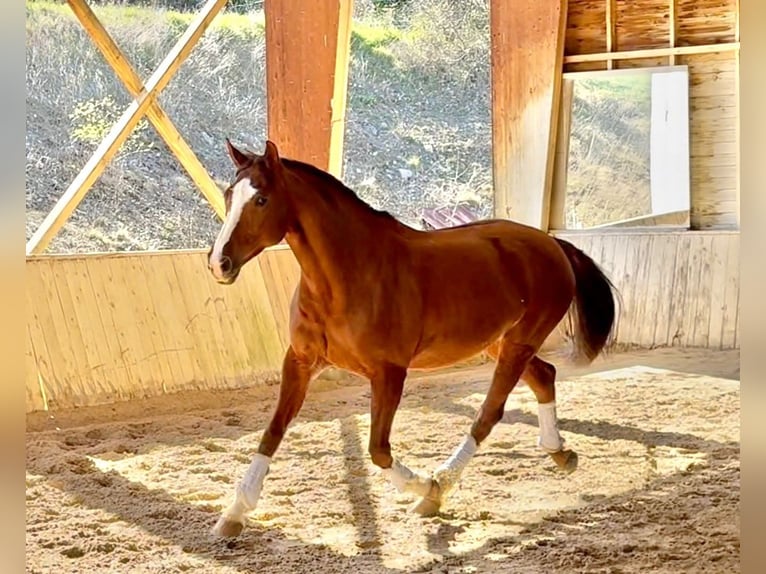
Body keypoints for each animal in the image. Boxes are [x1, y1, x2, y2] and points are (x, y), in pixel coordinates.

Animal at [207, 139, 617, 538]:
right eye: (229, 195)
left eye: (261, 199)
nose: (218, 264)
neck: (347, 277)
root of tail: (551, 243)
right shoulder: (300, 361)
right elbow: (271, 433)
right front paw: (234, 514)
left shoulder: (389, 372)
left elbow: (378, 449)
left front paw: (427, 486)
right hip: (501, 343)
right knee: (545, 376)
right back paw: (560, 452)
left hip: (518, 343)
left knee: (488, 414)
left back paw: (441, 487)